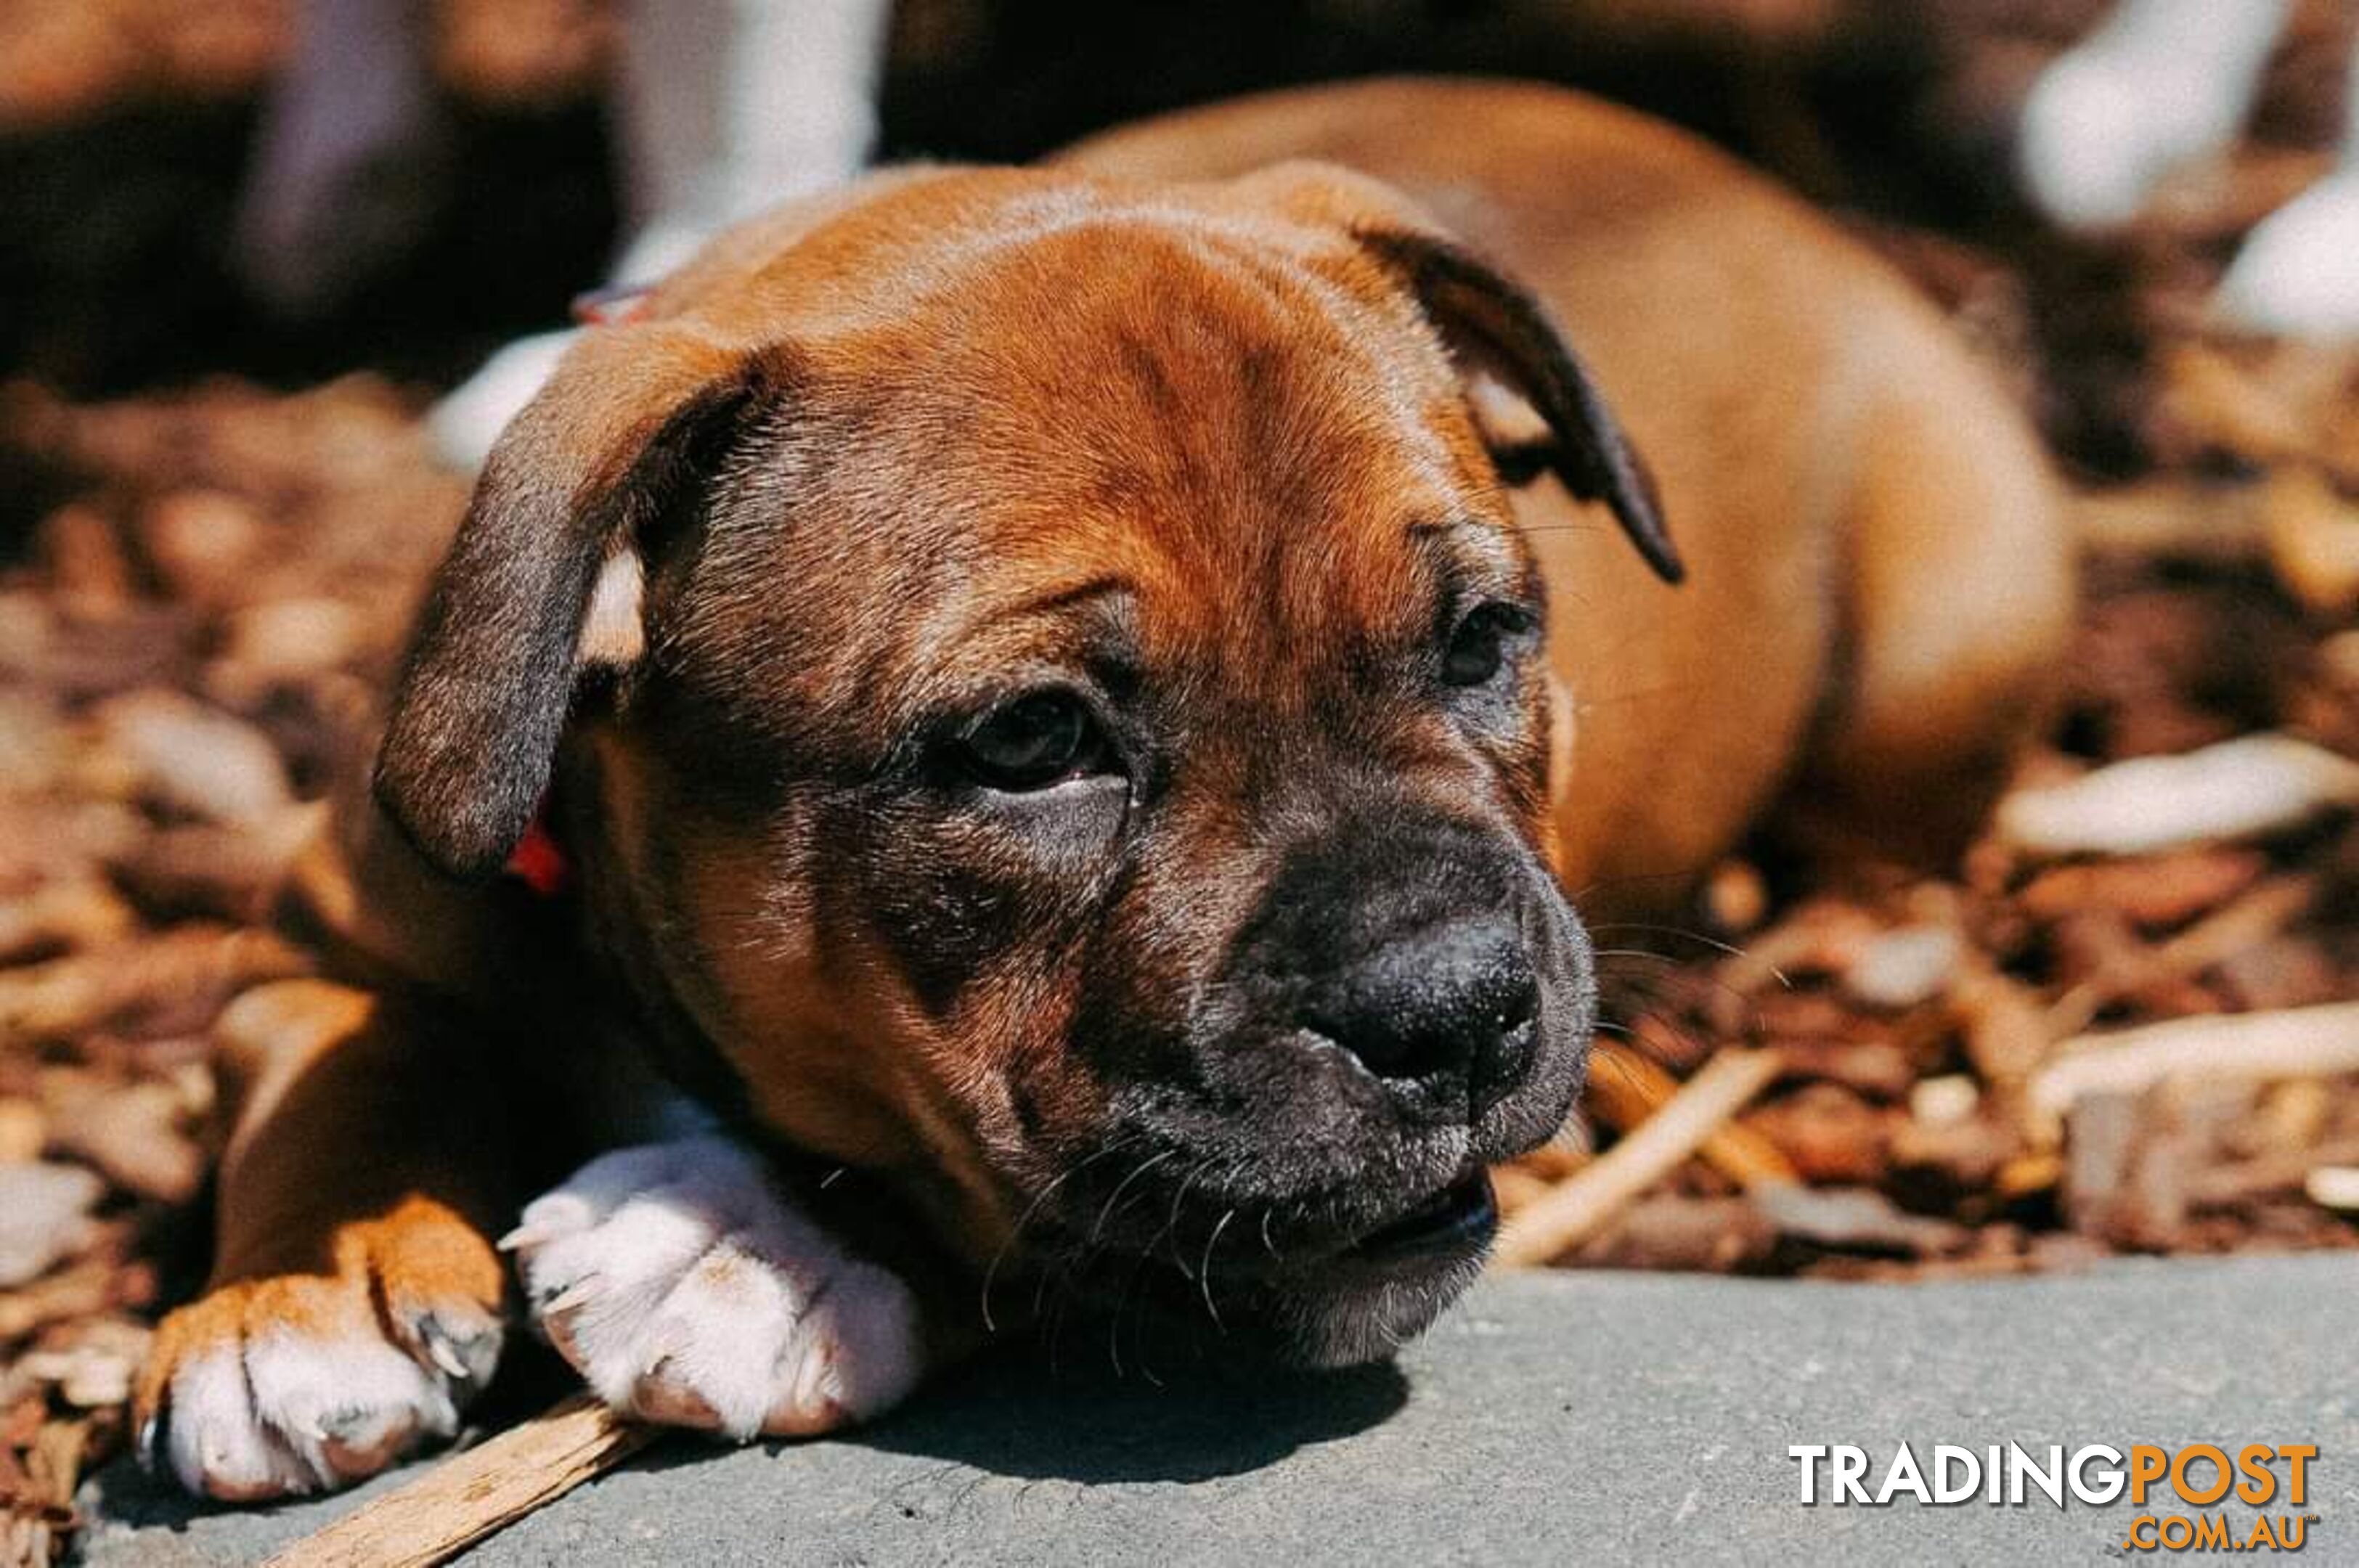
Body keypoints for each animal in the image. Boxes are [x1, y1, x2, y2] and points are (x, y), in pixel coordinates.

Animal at [138, 79, 2076, 1499]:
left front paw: (749, 1250)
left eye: (1483, 641)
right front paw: (289, 1297)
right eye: (1026, 745)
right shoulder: (325, 930)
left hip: (1937, 649)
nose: (1455, 1011)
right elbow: (338, 1067)